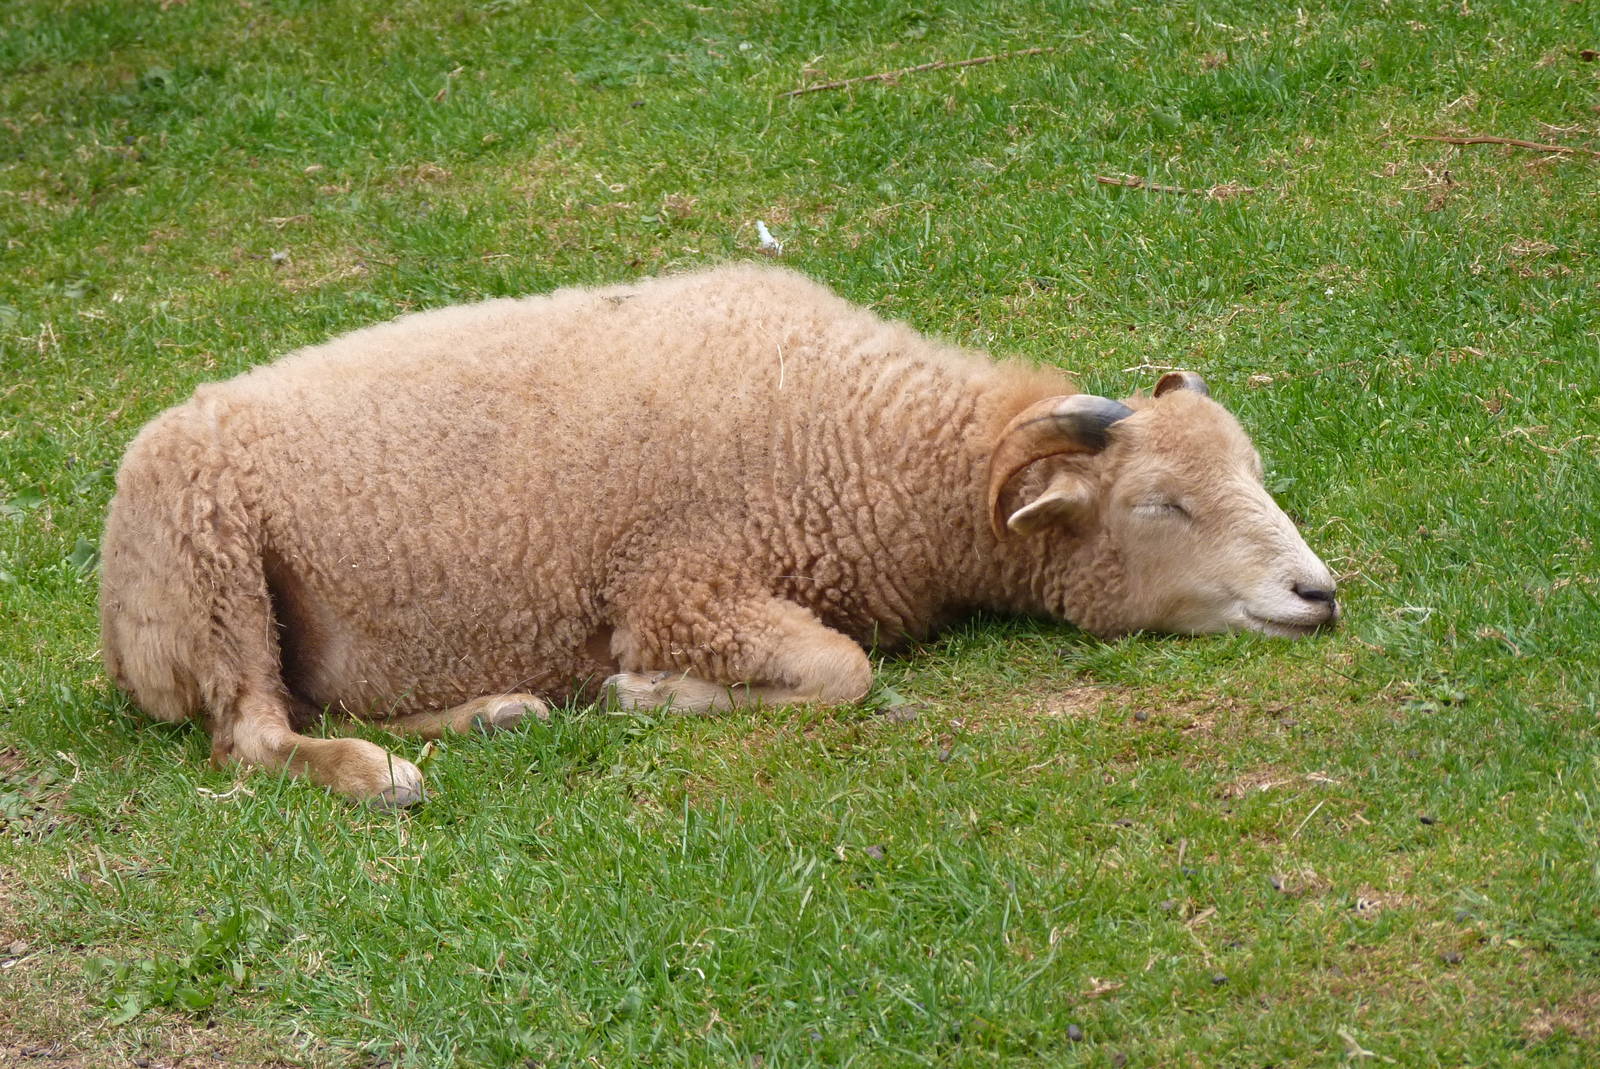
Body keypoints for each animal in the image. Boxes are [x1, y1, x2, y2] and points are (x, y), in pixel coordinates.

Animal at [99, 264, 1337, 806]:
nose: (1317, 594)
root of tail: (116, 633)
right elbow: (840, 672)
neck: (874, 442)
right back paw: (383, 774)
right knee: (252, 737)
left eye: (1250, 472)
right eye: (1160, 505)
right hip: (214, 581)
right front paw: (648, 694)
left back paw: (494, 713)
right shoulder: (681, 587)